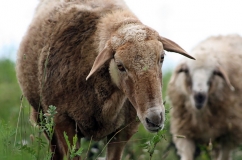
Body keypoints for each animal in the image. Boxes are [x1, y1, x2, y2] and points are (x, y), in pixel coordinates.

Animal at [16, 0, 195, 159]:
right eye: (120, 65)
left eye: (162, 57)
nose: (155, 119)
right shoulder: (63, 123)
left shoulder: (122, 131)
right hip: (43, 118)